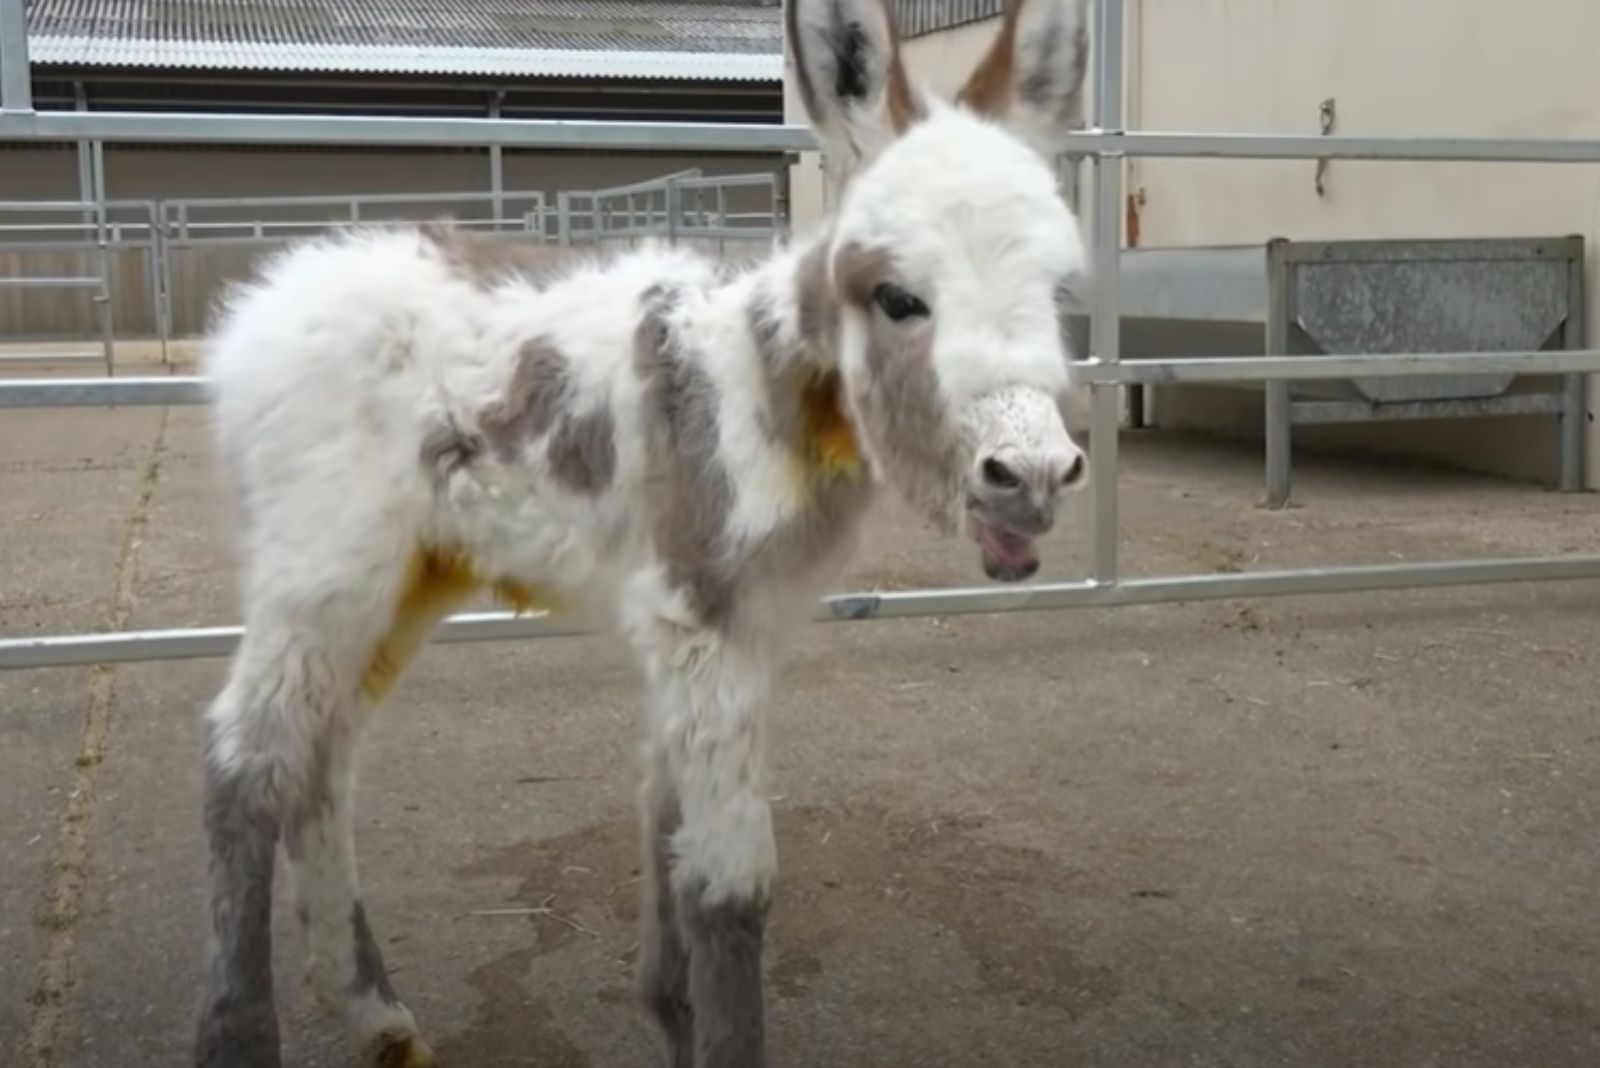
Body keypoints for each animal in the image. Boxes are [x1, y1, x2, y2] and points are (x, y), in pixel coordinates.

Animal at [190, 4, 1088, 1061]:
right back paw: (242, 1034)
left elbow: (669, 822)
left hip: (406, 575)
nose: (1031, 478)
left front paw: (671, 1013)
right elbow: (731, 885)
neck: (761, 383)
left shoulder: (730, 627)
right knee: (245, 765)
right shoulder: (701, 613)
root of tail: (269, 299)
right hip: (323, 565)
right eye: (898, 298)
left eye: (1060, 294)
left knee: (319, 761)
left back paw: (377, 1017)